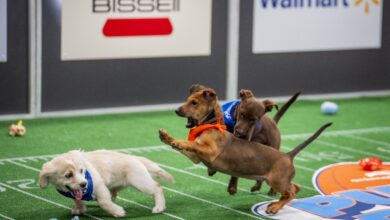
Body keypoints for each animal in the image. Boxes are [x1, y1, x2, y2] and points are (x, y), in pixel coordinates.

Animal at [38, 150, 174, 217]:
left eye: (82, 171)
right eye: (68, 175)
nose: (84, 184)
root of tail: (135, 157)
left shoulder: (99, 187)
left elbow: (104, 203)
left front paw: (118, 212)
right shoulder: (76, 192)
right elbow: (78, 199)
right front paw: (80, 209)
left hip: (139, 181)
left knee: (157, 187)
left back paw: (159, 207)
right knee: (113, 195)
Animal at [158, 87, 332, 213]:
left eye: (194, 103)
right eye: (187, 100)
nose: (177, 110)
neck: (211, 124)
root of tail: (288, 155)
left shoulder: (210, 152)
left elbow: (190, 143)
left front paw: (174, 140)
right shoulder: (196, 157)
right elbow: (186, 145)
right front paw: (167, 138)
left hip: (277, 181)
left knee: (291, 193)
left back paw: (274, 207)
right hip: (280, 180)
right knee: (295, 187)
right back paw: (276, 203)